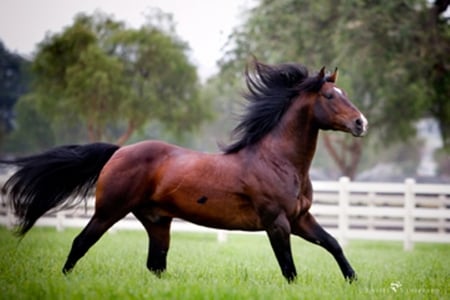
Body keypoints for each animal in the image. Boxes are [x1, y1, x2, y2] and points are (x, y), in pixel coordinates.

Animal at [2, 59, 370, 282]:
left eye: (344, 93)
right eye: (329, 96)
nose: (361, 123)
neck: (276, 161)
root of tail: (119, 152)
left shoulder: (299, 219)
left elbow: (334, 244)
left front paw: (354, 280)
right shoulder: (277, 222)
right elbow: (289, 268)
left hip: (157, 222)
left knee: (155, 265)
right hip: (108, 211)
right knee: (81, 243)